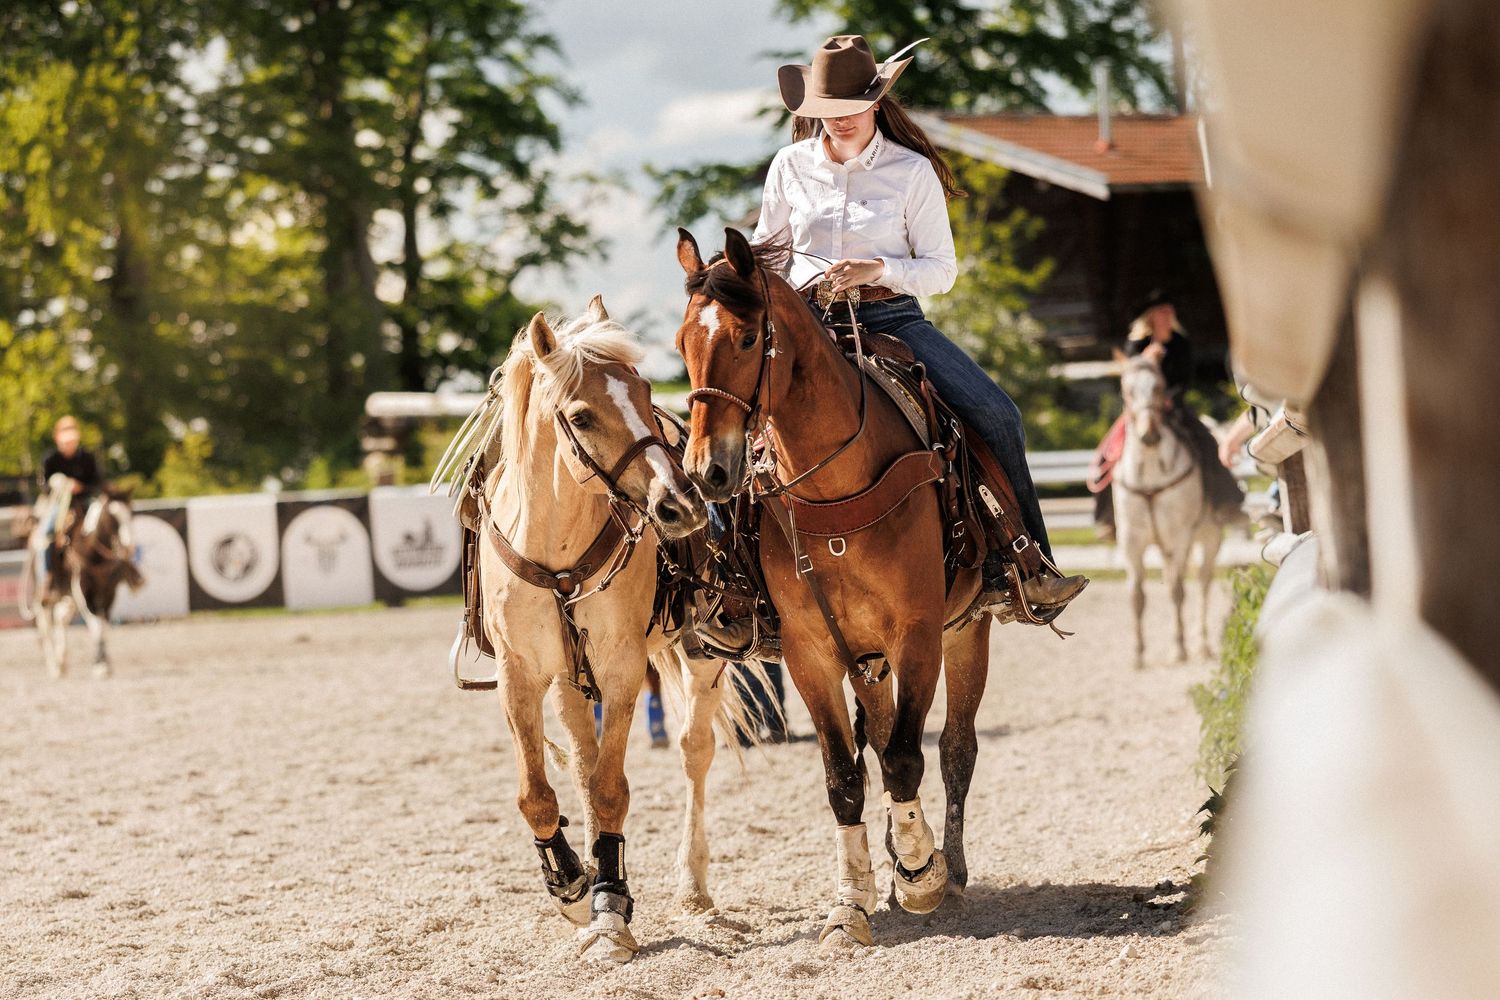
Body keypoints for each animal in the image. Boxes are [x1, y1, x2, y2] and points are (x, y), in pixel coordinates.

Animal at [21, 479, 143, 678]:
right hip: (45, 593)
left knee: (60, 618)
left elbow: (103, 625)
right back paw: (54, 666)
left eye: (131, 514)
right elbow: (95, 625)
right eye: (113, 517)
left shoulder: (109, 592)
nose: (128, 548)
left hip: (68, 596)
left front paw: (104, 662)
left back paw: (62, 661)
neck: (91, 550)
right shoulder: (83, 591)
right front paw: (100, 666)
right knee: (45, 623)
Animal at [436, 297, 760, 965]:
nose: (681, 505)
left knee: (694, 751)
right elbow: (541, 792)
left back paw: (693, 885)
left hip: (701, 653)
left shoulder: (620, 667)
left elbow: (611, 787)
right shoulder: (521, 674)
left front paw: (610, 910)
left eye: (644, 391)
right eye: (582, 415)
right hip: (568, 682)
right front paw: (572, 885)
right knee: (583, 766)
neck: (556, 548)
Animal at [673, 229, 993, 952]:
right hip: (863, 658)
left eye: (746, 337)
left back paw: (951, 870)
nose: (707, 472)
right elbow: (845, 775)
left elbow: (905, 758)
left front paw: (921, 877)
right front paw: (852, 902)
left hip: (968, 630)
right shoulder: (811, 652)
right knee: (878, 738)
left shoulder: (919, 634)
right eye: (682, 343)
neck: (835, 489)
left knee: (955, 748)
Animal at [1113, 356, 1224, 668]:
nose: (1148, 435)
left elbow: (1176, 591)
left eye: (1159, 387)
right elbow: (1137, 596)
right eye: (1126, 391)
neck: (1150, 472)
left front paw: (1179, 648)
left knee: (1203, 582)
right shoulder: (1131, 542)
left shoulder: (1178, 537)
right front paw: (1138, 653)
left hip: (1209, 538)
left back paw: (1203, 644)